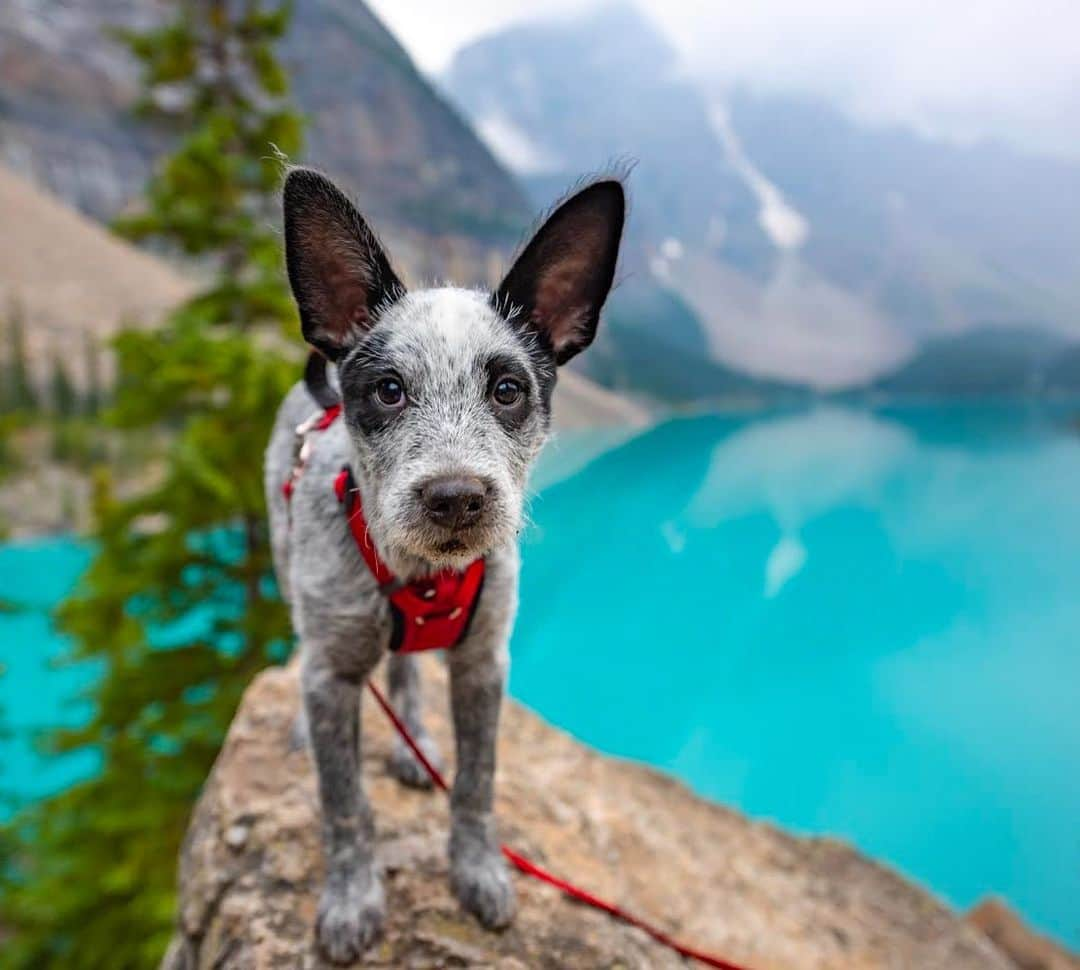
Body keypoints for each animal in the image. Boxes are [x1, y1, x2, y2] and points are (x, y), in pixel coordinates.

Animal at [262, 168, 630, 959]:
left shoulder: (483, 662)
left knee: (404, 672)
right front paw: (352, 900)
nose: (456, 497)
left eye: (508, 389)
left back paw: (415, 743)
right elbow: (344, 804)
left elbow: (477, 781)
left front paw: (477, 871)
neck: (422, 578)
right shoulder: (334, 673)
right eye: (388, 390)